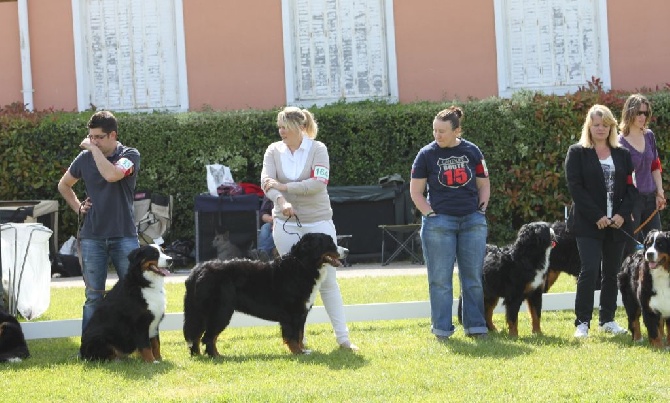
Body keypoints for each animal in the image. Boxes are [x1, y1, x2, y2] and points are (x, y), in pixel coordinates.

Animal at [184, 232, 346, 358]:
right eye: (330, 243)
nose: (347, 250)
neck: (302, 265)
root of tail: (198, 269)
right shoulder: (292, 313)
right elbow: (293, 336)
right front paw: (298, 352)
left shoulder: (301, 313)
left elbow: (300, 334)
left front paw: (303, 350)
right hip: (221, 311)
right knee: (209, 337)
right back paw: (216, 356)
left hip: (201, 312)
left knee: (197, 335)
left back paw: (198, 354)